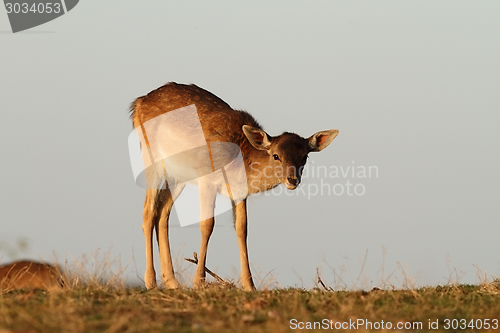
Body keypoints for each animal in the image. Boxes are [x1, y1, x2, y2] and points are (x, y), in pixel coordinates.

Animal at [131, 81, 338, 290]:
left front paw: (249, 285)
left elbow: (242, 228)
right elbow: (207, 224)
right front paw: (199, 282)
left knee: (162, 213)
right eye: (276, 155)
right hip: (152, 160)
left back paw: (172, 282)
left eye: (304, 157)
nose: (292, 180)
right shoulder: (207, 179)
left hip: (177, 176)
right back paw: (151, 281)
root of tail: (138, 104)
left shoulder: (239, 192)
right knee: (148, 212)